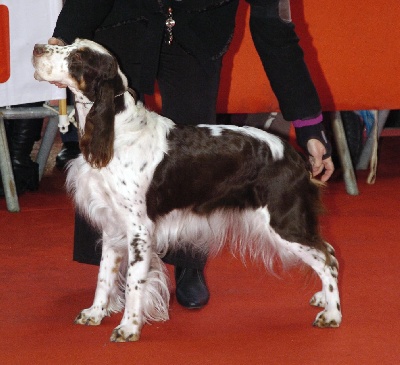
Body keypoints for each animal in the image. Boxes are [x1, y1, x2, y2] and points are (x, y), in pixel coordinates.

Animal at [32, 38, 342, 340]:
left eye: (77, 58)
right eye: (70, 44)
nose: (37, 48)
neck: (116, 134)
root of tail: (296, 155)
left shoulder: (139, 230)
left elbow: (133, 283)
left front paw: (129, 328)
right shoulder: (112, 225)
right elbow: (104, 276)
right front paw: (95, 313)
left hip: (282, 222)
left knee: (326, 260)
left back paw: (332, 315)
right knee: (329, 251)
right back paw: (322, 299)